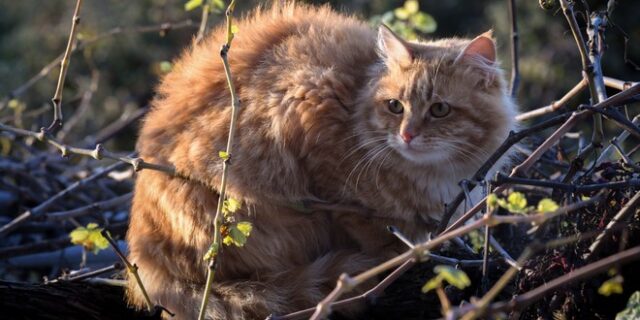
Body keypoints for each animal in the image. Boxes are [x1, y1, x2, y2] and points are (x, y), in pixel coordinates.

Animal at [125, 1, 516, 318]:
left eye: (439, 110)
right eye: (395, 106)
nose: (407, 135)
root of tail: (144, 255)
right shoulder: (309, 125)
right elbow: (369, 231)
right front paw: (391, 258)